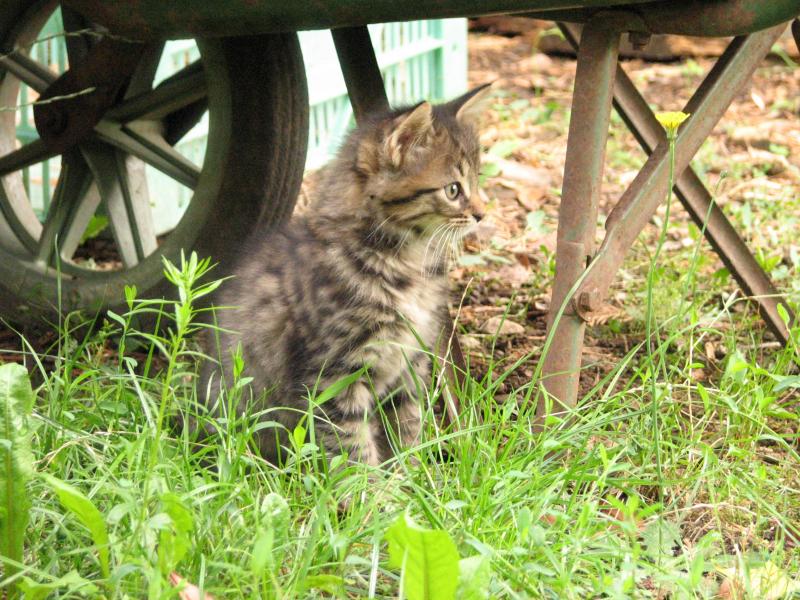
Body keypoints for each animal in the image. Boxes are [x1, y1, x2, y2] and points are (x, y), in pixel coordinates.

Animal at [197, 85, 490, 468]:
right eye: (453, 190)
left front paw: (414, 476)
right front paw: (375, 486)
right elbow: (353, 446)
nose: (483, 214)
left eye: (477, 182)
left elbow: (407, 427)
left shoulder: (409, 363)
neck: (405, 266)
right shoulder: (334, 374)